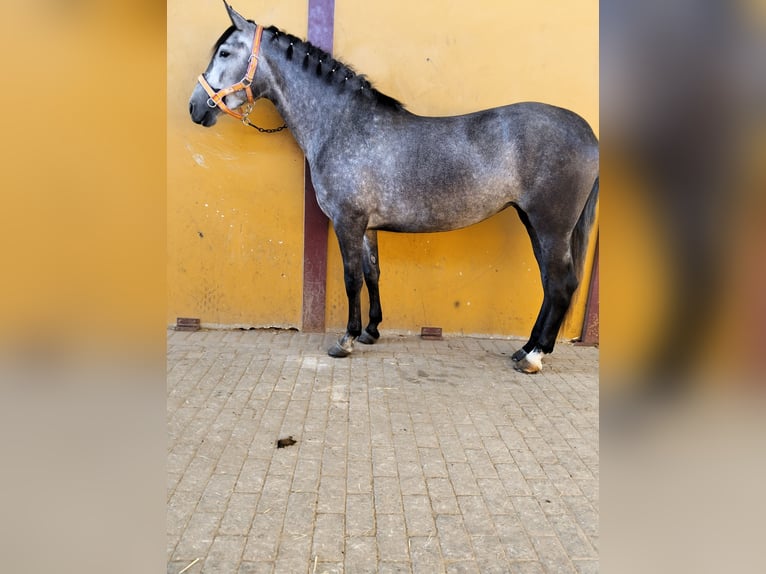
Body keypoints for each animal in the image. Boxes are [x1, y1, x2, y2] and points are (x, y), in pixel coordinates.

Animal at [189, 2, 599, 373]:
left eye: (225, 52)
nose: (195, 107)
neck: (344, 125)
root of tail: (586, 131)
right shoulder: (367, 226)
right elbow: (372, 273)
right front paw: (370, 331)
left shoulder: (347, 221)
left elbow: (351, 278)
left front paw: (346, 340)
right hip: (534, 222)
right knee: (549, 282)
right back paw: (526, 348)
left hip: (550, 225)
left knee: (561, 284)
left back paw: (534, 356)